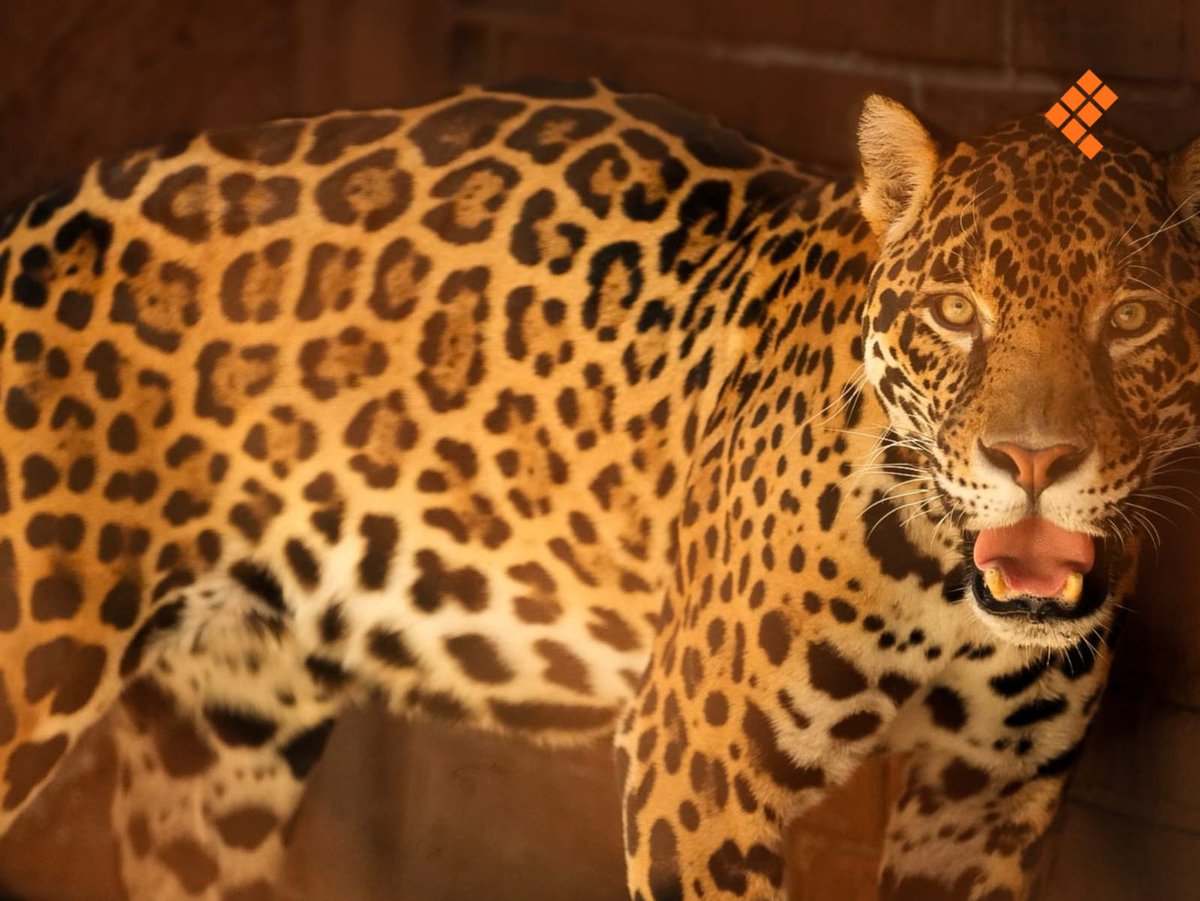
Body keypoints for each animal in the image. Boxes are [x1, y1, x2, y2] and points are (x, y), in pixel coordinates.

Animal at [0, 75, 1198, 901]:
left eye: (1133, 319)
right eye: (956, 312)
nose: (1032, 463)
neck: (948, 588)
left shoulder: (991, 796)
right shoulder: (699, 765)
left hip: (223, 739)